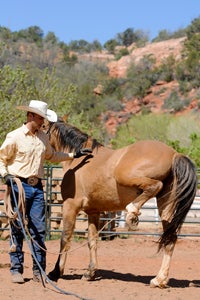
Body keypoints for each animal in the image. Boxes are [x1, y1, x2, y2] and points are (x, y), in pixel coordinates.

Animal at [47, 121, 198, 288]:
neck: (78, 162)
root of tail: (174, 154)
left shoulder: (70, 206)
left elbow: (65, 239)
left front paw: (55, 273)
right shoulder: (93, 212)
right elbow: (92, 241)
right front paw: (90, 273)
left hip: (124, 175)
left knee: (154, 186)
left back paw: (132, 213)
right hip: (166, 208)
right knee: (170, 240)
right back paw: (159, 280)